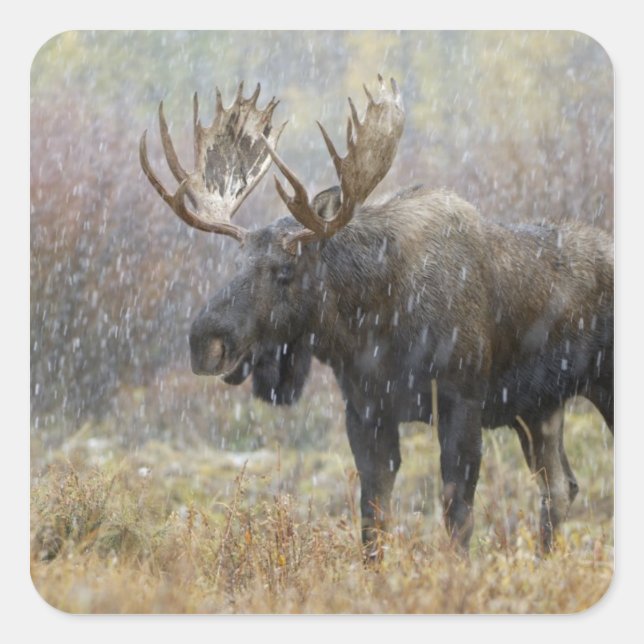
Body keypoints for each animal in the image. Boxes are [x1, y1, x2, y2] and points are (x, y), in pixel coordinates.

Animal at [140, 77, 613, 559]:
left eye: (285, 271)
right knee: (561, 486)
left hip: (598, 387)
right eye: (236, 263)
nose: (204, 341)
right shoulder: (366, 409)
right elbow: (373, 519)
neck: (374, 324)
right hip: (539, 408)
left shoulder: (462, 397)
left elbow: (457, 514)